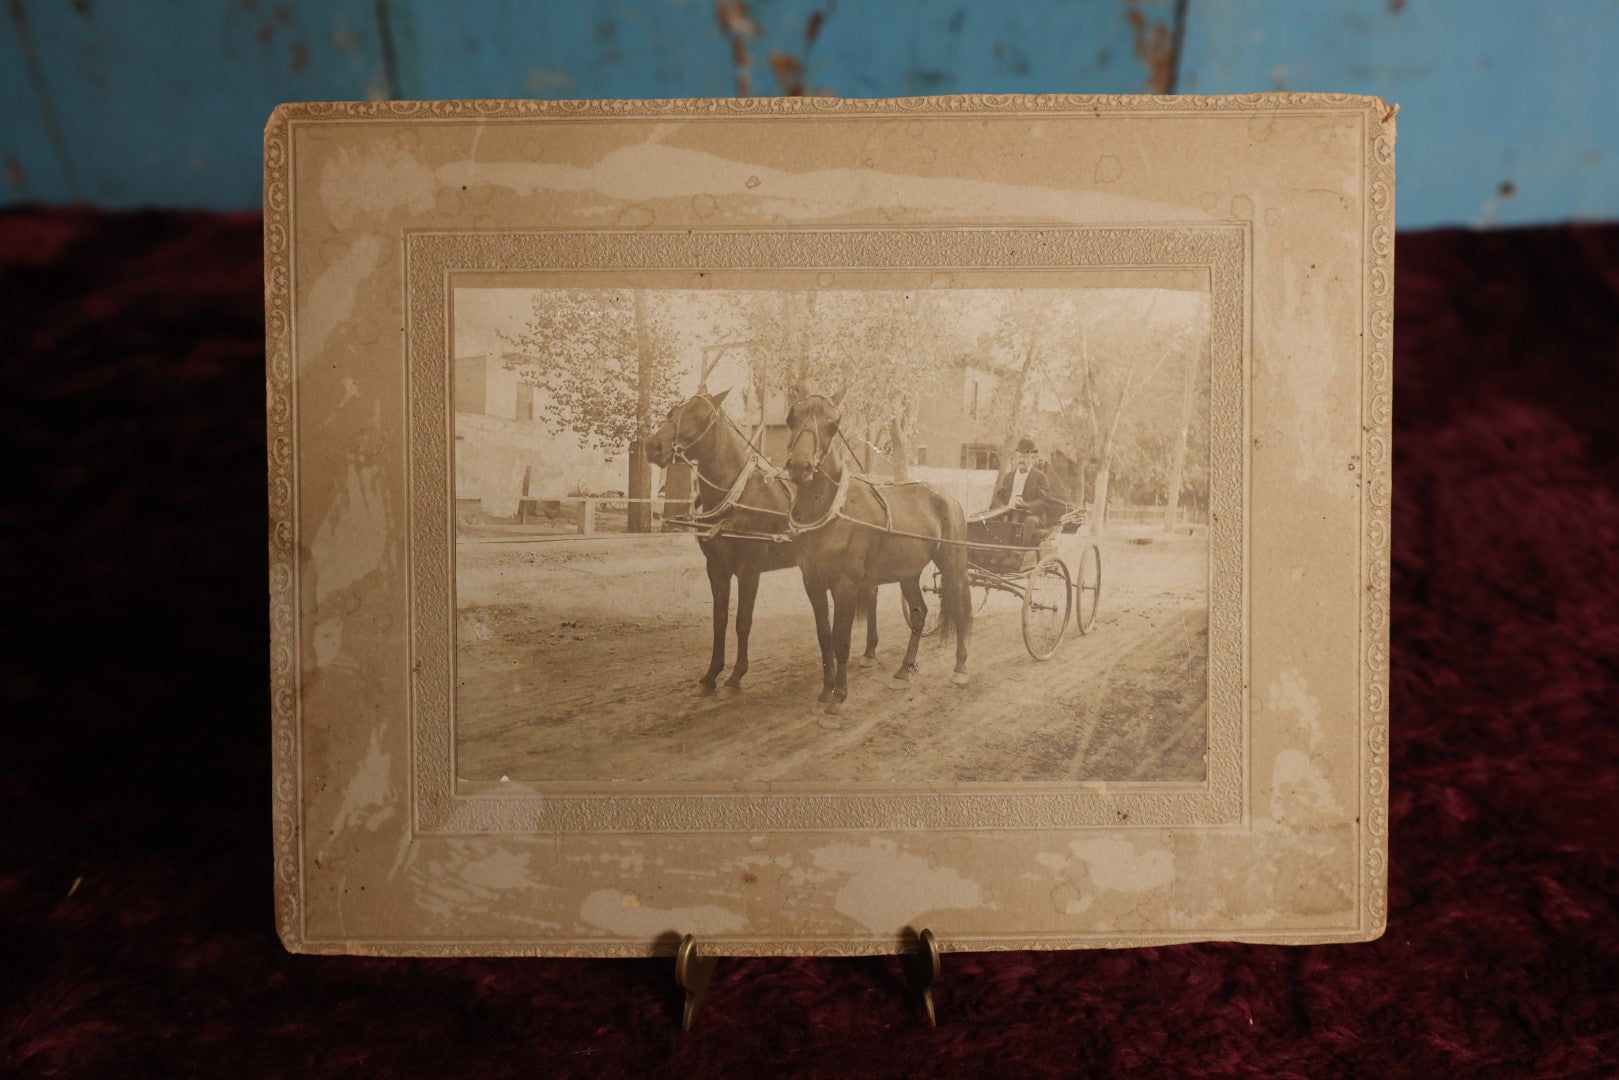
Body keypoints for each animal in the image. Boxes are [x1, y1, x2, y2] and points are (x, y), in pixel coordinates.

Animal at [641, 393, 880, 696]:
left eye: (702, 417)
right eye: (673, 412)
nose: (653, 446)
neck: (738, 497)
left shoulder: (749, 569)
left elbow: (743, 621)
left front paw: (736, 676)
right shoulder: (716, 569)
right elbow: (720, 620)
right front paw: (711, 675)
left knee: (871, 594)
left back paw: (870, 651)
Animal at [783, 386, 971, 709]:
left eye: (833, 423)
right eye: (792, 417)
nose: (800, 466)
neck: (833, 512)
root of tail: (946, 496)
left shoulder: (846, 586)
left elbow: (841, 639)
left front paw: (840, 696)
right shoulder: (814, 583)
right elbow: (824, 636)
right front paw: (826, 689)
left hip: (953, 565)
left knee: (959, 609)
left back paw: (960, 667)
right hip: (908, 574)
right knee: (919, 613)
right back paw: (904, 670)